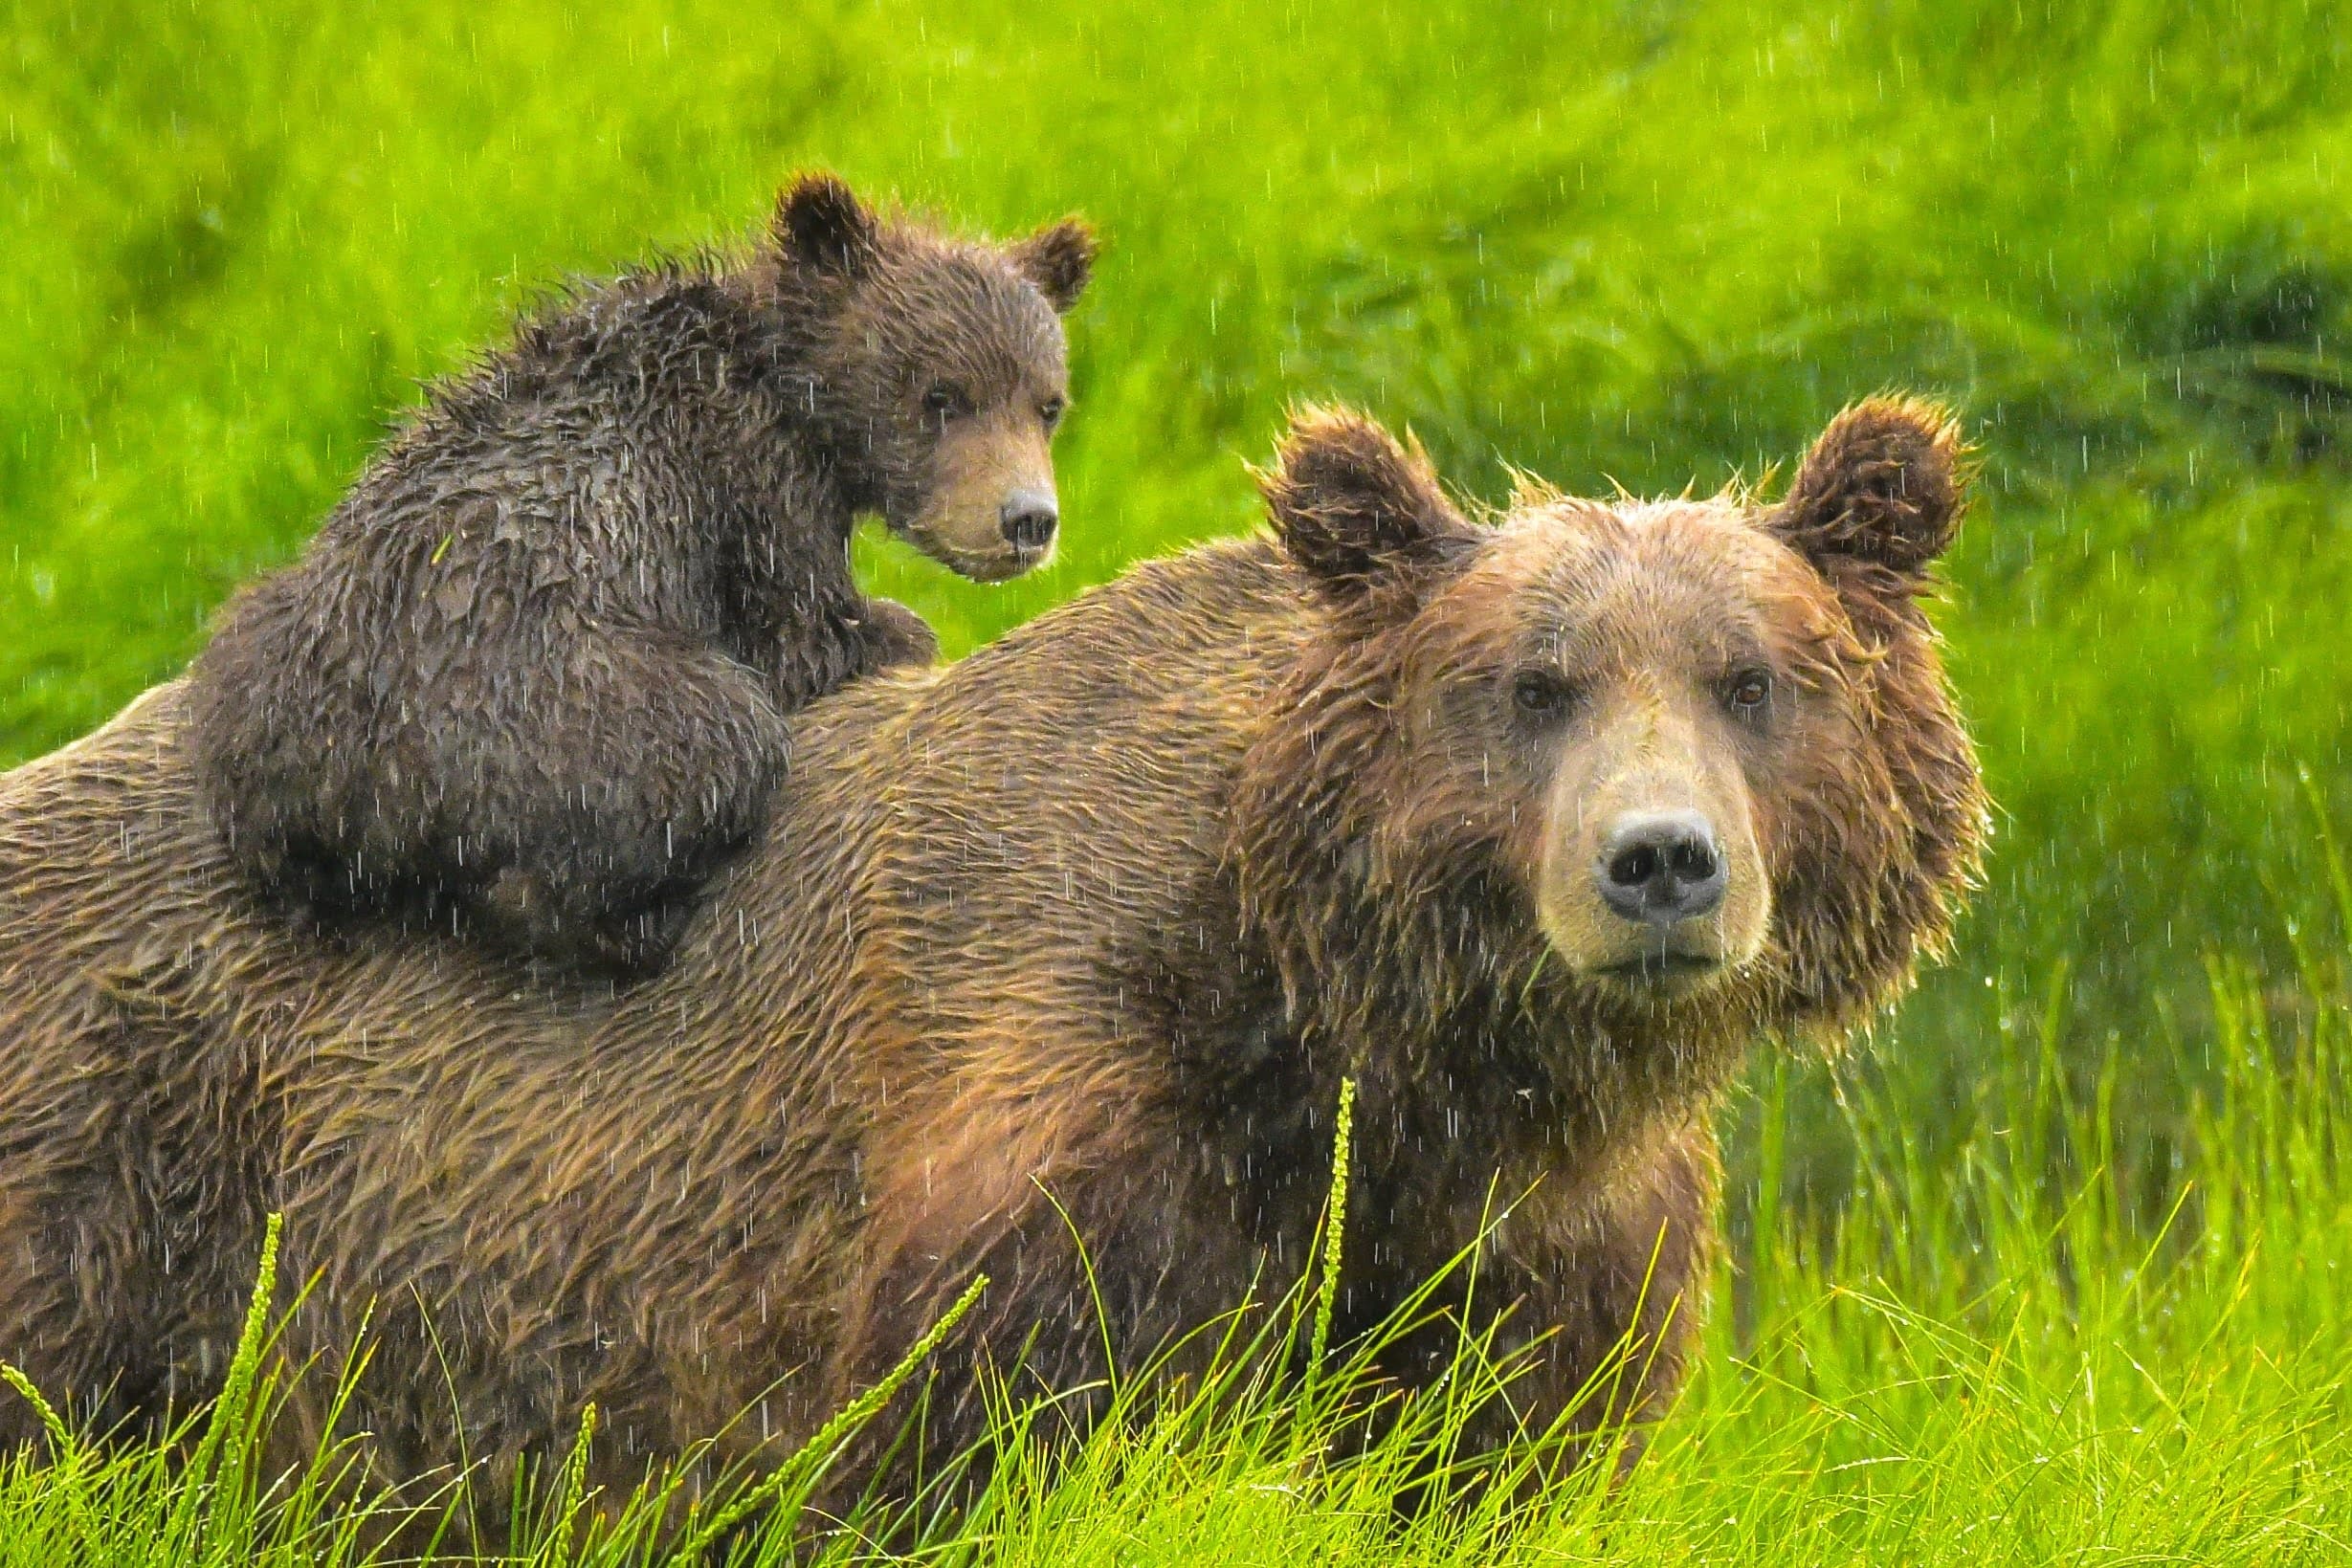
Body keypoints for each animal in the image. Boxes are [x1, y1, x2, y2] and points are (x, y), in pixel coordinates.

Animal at [0, 399, 1983, 1546]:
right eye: (1531, 684)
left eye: (1754, 677)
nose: (1657, 863)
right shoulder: (1049, 1113)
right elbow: (972, 1433)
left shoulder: (1522, 1241)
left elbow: (1502, 1450)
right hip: (129, 1164)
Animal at [185, 172, 1095, 978]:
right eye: (941, 396)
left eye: (1046, 402)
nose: (1026, 520)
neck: (788, 385)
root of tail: (346, 771)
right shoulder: (747, 477)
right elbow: (804, 631)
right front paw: (894, 626)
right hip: (543, 692)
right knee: (712, 739)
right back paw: (635, 924)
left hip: (263, 661)